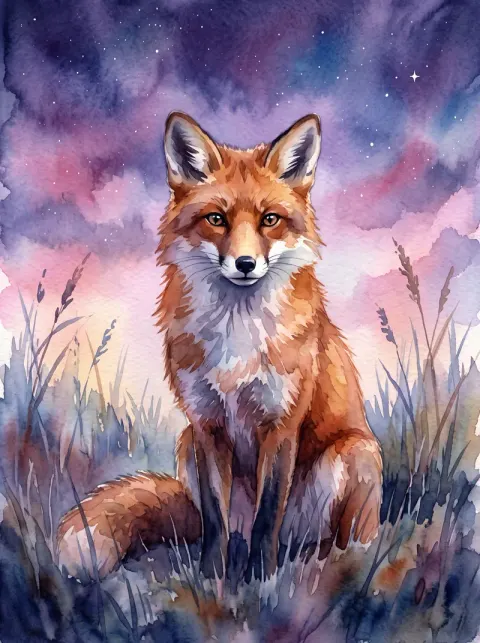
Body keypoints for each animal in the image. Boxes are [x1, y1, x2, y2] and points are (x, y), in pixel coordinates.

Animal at [57, 112, 382, 586]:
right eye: (216, 218)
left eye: (269, 219)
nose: (245, 264)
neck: (237, 337)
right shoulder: (206, 425)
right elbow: (214, 520)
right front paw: (213, 577)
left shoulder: (280, 425)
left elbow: (268, 515)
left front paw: (260, 579)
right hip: (185, 443)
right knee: (232, 529)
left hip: (353, 454)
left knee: (331, 541)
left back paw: (317, 562)